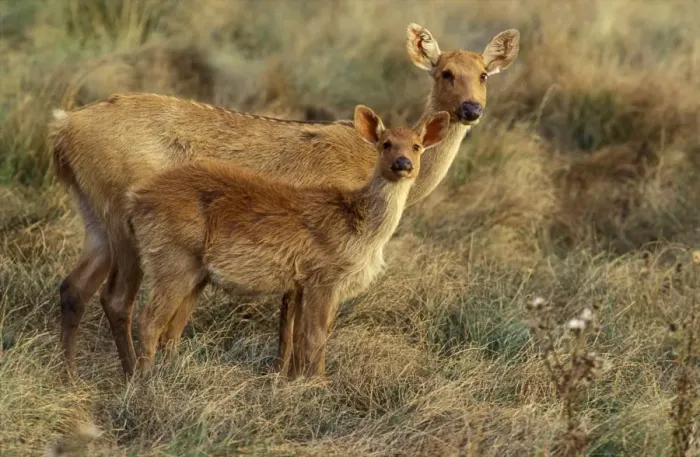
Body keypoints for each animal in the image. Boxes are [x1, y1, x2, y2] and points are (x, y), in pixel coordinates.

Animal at [126, 105, 449, 377]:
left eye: (417, 146)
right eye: (385, 144)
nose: (403, 163)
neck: (360, 229)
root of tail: (137, 198)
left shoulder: (305, 283)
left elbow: (307, 335)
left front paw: (294, 379)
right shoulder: (323, 275)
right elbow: (315, 336)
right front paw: (318, 385)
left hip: (194, 270)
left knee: (171, 327)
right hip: (173, 256)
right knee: (148, 319)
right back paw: (145, 378)